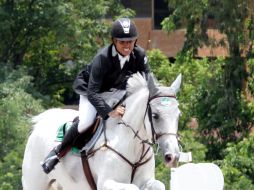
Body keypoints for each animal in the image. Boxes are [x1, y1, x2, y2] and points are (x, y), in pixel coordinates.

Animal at [22, 73, 183, 190]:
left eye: (179, 115)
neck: (133, 146)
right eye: (155, 116)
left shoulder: (148, 181)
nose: (173, 156)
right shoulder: (107, 183)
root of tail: (41, 123)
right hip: (34, 183)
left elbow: (158, 185)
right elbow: (132, 187)